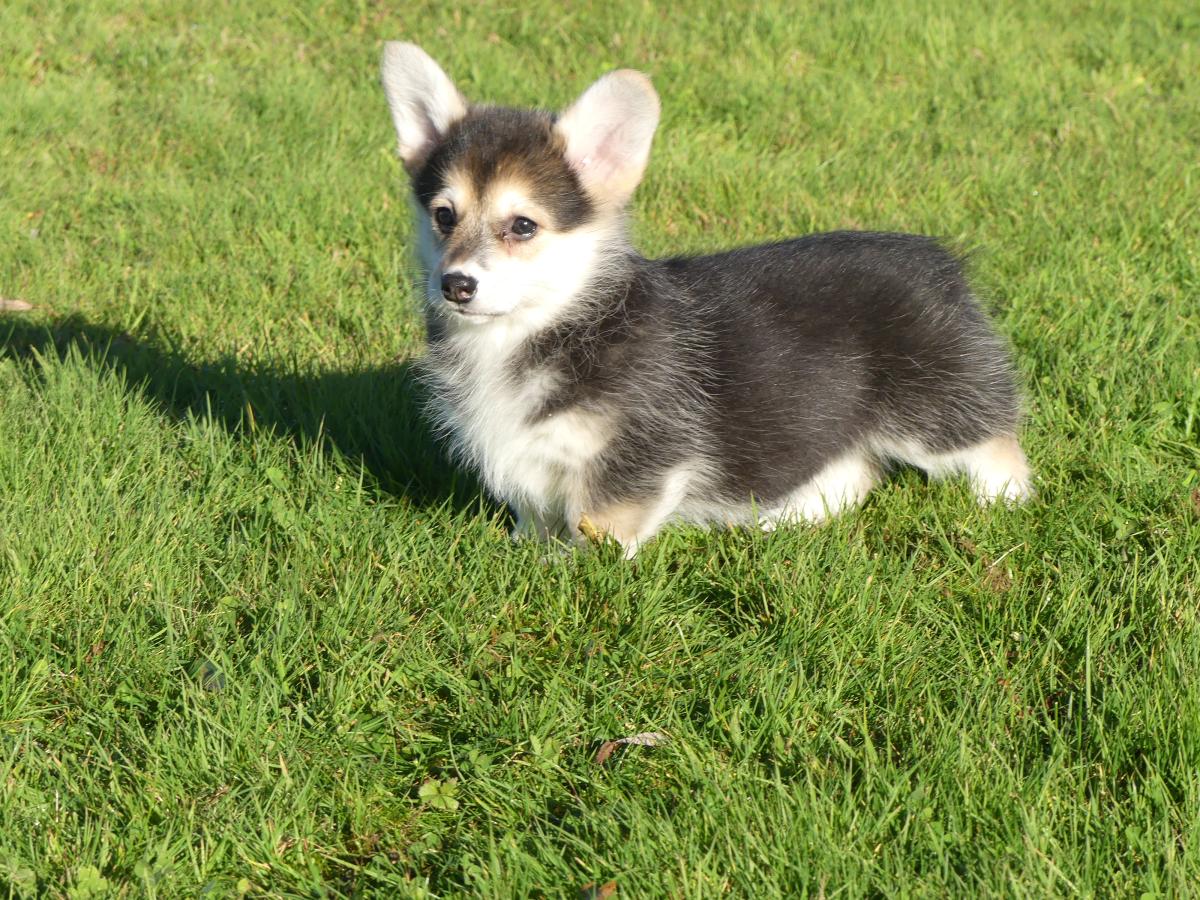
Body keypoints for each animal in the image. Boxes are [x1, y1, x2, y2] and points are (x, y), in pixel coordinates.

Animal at [376, 47, 1032, 556]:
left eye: (522, 226)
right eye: (444, 215)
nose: (455, 285)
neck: (535, 328)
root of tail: (938, 259)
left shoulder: (638, 457)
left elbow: (600, 530)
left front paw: (574, 576)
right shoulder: (530, 465)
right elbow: (536, 520)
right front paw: (527, 557)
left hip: (936, 410)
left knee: (997, 447)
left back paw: (1003, 506)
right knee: (852, 474)